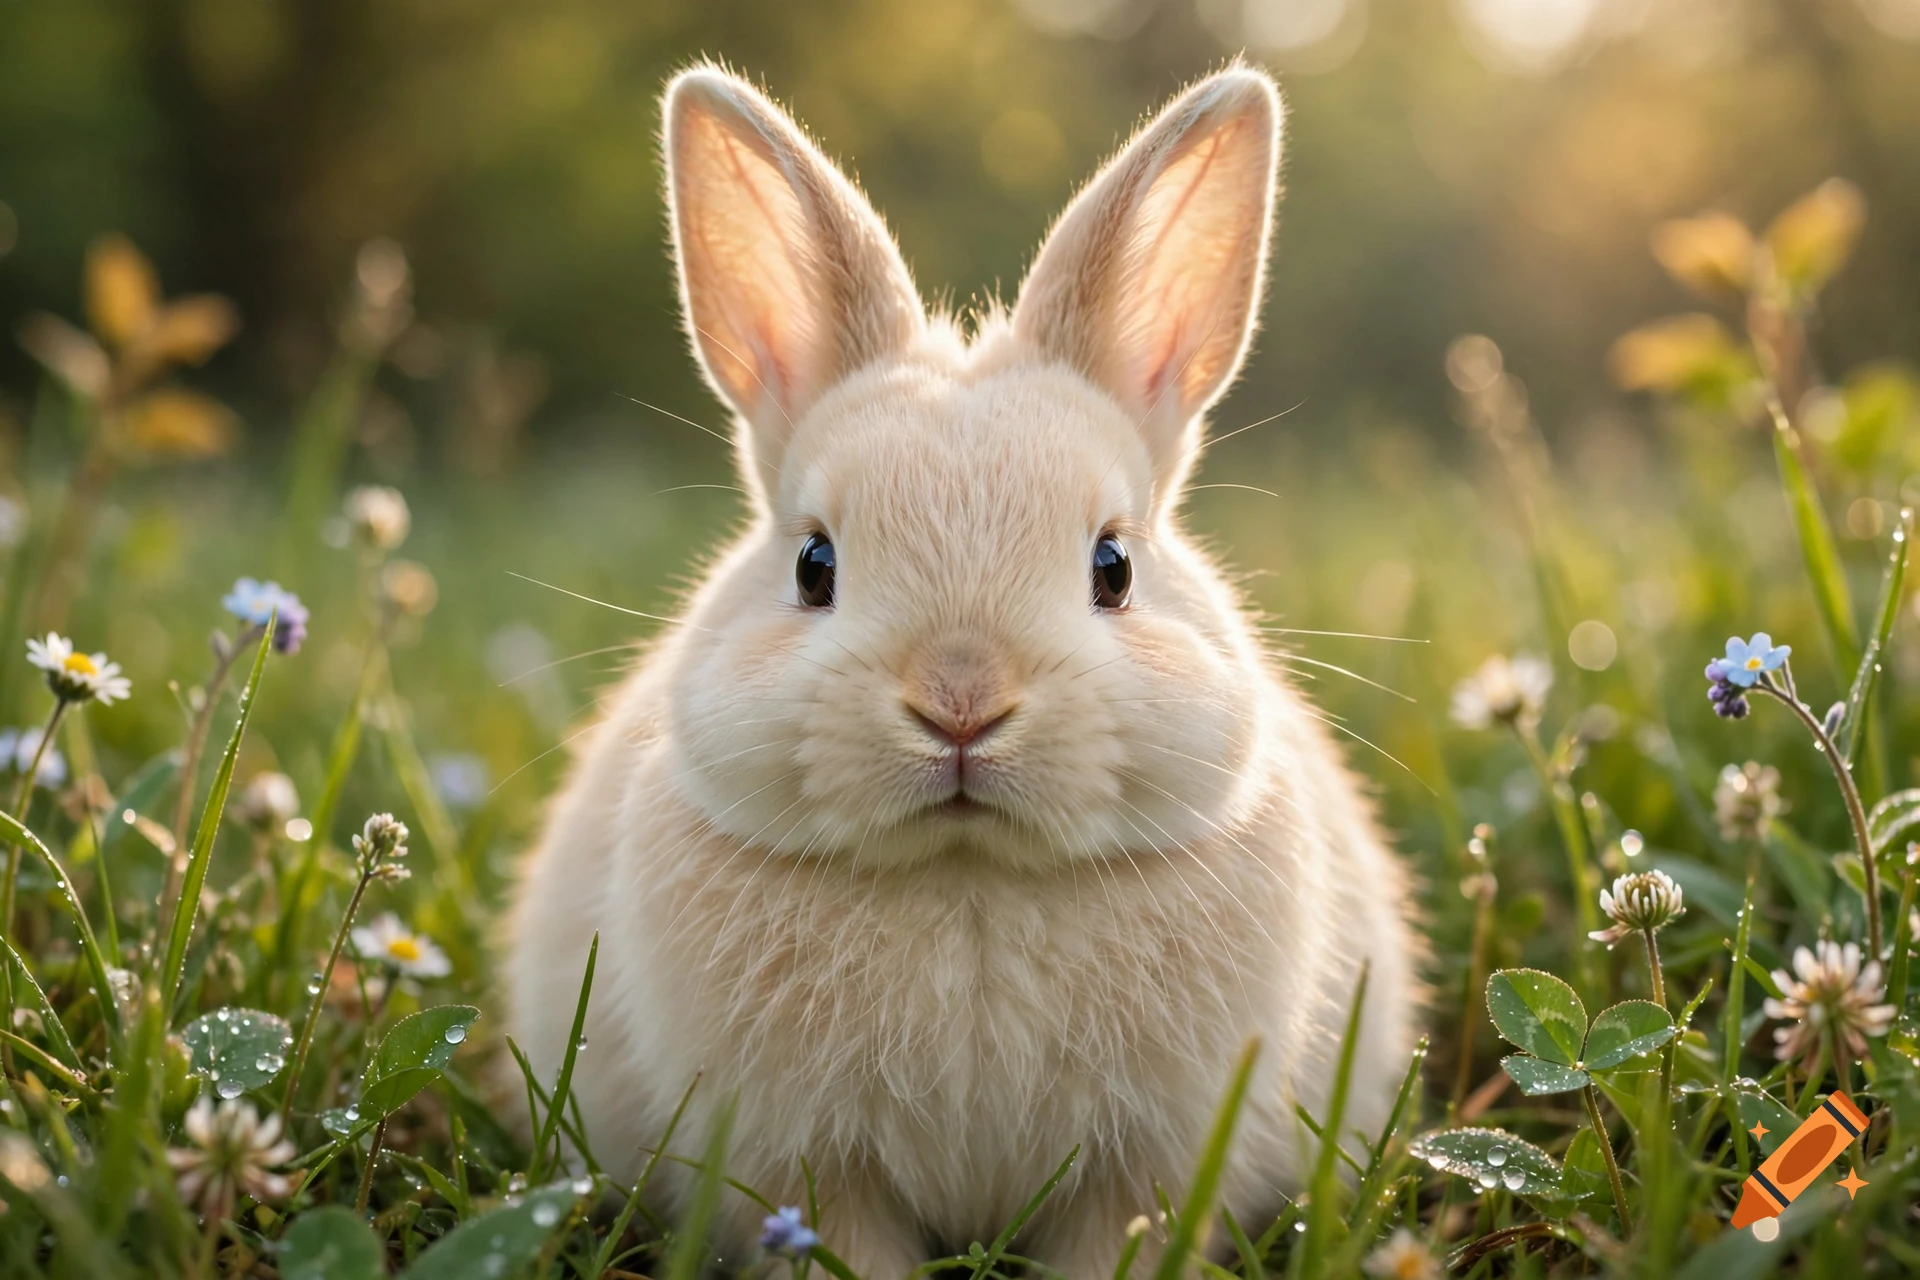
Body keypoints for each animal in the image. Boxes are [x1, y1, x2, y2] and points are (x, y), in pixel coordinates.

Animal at [504, 61, 1420, 1279]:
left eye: (1115, 566)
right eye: (814, 565)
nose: (962, 703)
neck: (969, 873)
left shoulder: (1142, 1169)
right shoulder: (809, 1169)